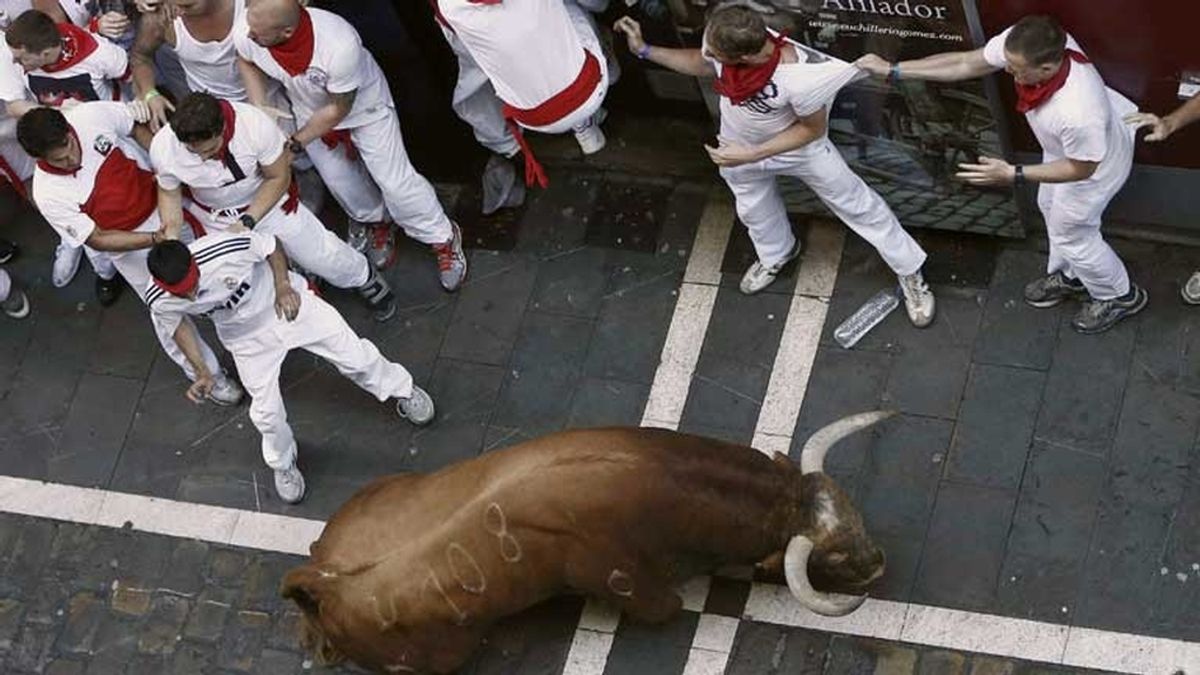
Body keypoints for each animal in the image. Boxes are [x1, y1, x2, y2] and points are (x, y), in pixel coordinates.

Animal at [276, 408, 888, 667]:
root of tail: (321, 584)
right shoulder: (631, 585)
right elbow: (665, 606)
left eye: (855, 512)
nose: (879, 563)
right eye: (833, 556)